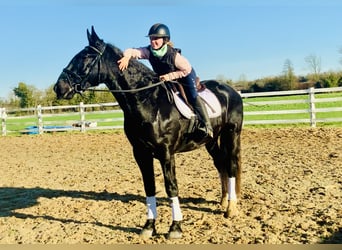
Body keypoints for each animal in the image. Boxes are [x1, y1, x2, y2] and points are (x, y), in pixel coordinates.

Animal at [53, 26, 243, 239]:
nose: (59, 87)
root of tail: (232, 91)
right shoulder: (141, 153)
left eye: (86, 57)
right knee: (221, 164)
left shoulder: (166, 154)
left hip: (231, 135)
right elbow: (149, 187)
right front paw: (149, 226)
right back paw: (224, 201)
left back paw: (231, 209)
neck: (147, 101)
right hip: (211, 140)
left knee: (231, 165)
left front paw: (175, 227)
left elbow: (171, 187)